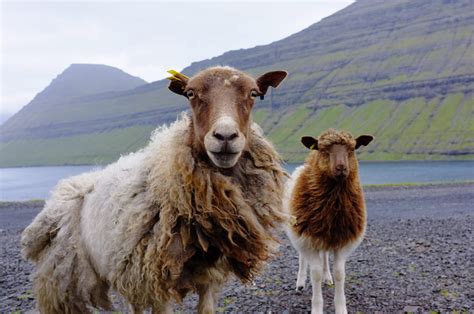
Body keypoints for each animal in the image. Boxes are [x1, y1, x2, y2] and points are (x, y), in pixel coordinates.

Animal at [21, 65, 288, 312]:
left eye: (254, 93)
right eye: (191, 93)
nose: (225, 136)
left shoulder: (210, 277)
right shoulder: (156, 280)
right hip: (69, 275)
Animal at [284, 129, 372, 312]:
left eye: (352, 149)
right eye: (323, 150)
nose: (341, 168)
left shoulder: (342, 240)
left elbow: (339, 273)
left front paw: (341, 308)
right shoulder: (307, 238)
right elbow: (315, 273)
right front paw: (317, 308)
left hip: (324, 235)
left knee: (324, 255)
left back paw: (327, 277)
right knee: (302, 258)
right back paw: (300, 283)